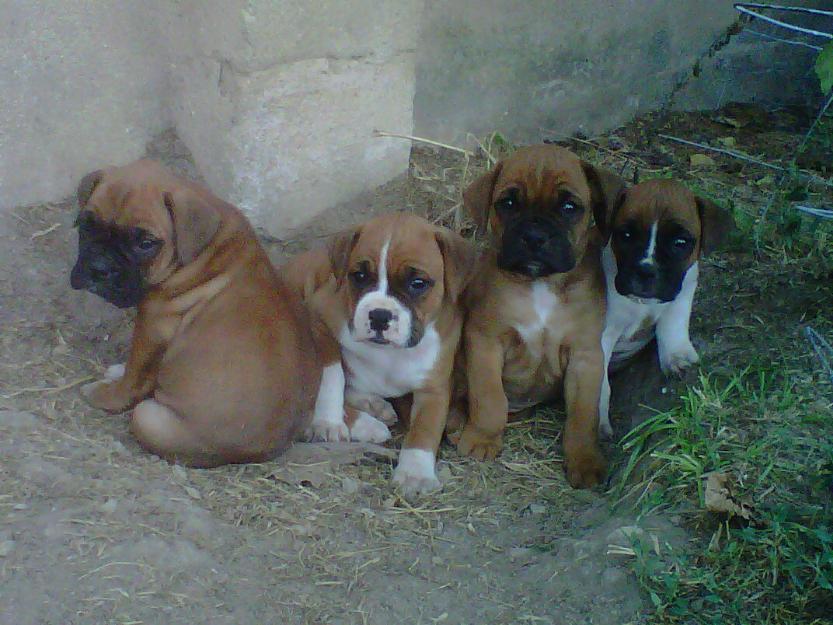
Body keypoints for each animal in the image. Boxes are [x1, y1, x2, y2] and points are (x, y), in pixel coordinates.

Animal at [70, 158, 322, 466]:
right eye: (87, 224)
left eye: (145, 243)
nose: (99, 268)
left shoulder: (152, 327)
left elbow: (134, 376)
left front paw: (106, 393)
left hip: (148, 418)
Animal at [282, 212, 478, 494]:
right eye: (360, 276)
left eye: (418, 283)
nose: (379, 315)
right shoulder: (317, 320)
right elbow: (331, 373)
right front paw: (328, 422)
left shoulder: (434, 388)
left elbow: (425, 429)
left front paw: (415, 473)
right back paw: (367, 422)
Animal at [452, 145, 620, 488]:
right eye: (508, 203)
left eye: (569, 207)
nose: (533, 235)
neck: (541, 283)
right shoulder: (486, 342)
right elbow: (489, 398)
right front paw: (483, 438)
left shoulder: (585, 356)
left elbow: (584, 415)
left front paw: (585, 459)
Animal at [596, 178, 732, 436]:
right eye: (626, 235)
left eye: (680, 243)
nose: (646, 270)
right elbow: (598, 384)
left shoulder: (682, 292)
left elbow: (673, 327)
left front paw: (679, 357)